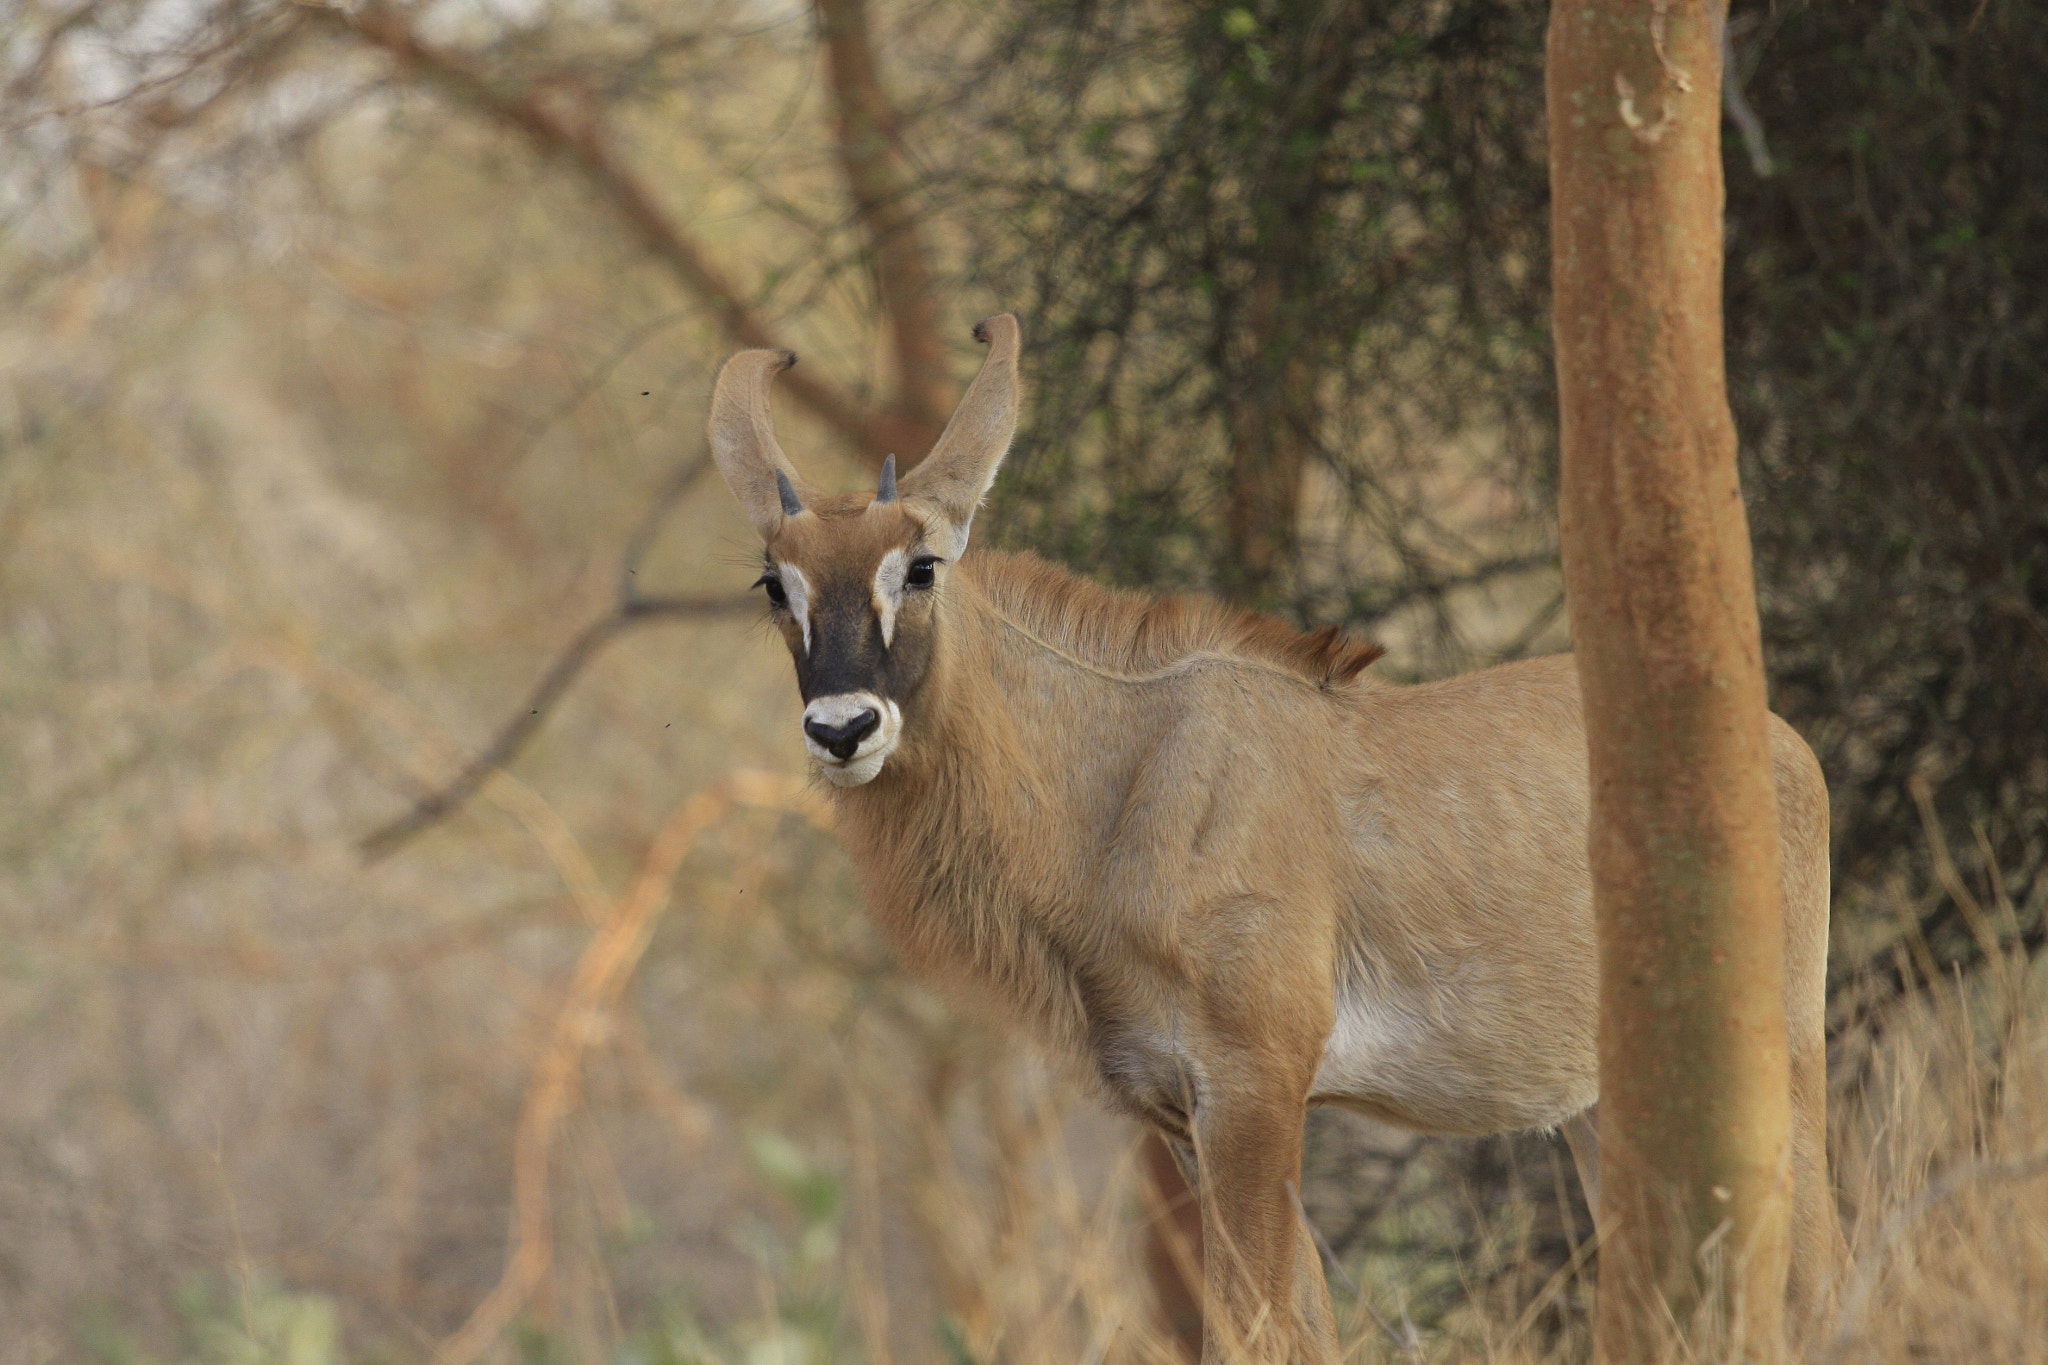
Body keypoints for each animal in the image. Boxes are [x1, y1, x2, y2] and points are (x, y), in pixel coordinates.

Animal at [708, 315, 1843, 1358]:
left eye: (922, 566)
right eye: (775, 582)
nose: (843, 728)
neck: (1130, 778)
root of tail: (1784, 746)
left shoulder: (1255, 1091)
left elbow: (1251, 1333)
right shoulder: (1181, 1117)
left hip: (1779, 1058)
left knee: (1814, 1275)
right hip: (1609, 1102)